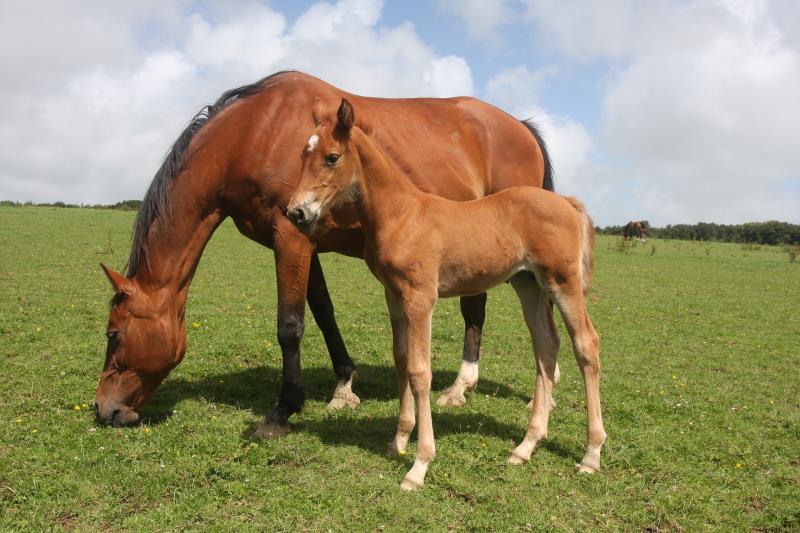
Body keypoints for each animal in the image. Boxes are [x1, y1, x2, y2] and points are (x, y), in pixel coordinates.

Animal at [94, 71, 552, 436]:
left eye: (113, 334)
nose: (104, 410)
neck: (255, 132)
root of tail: (521, 127)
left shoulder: (290, 238)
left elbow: (290, 326)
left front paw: (282, 411)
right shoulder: (304, 239)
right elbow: (323, 312)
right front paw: (344, 387)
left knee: (484, 312)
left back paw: (463, 389)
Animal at [288, 97, 608, 488]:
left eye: (332, 156)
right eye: (303, 155)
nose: (296, 212)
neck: (403, 213)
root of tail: (568, 203)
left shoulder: (421, 298)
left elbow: (419, 371)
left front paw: (419, 465)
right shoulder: (394, 296)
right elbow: (401, 360)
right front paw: (398, 441)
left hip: (563, 282)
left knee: (586, 344)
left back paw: (591, 453)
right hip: (529, 284)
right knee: (546, 347)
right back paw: (525, 447)